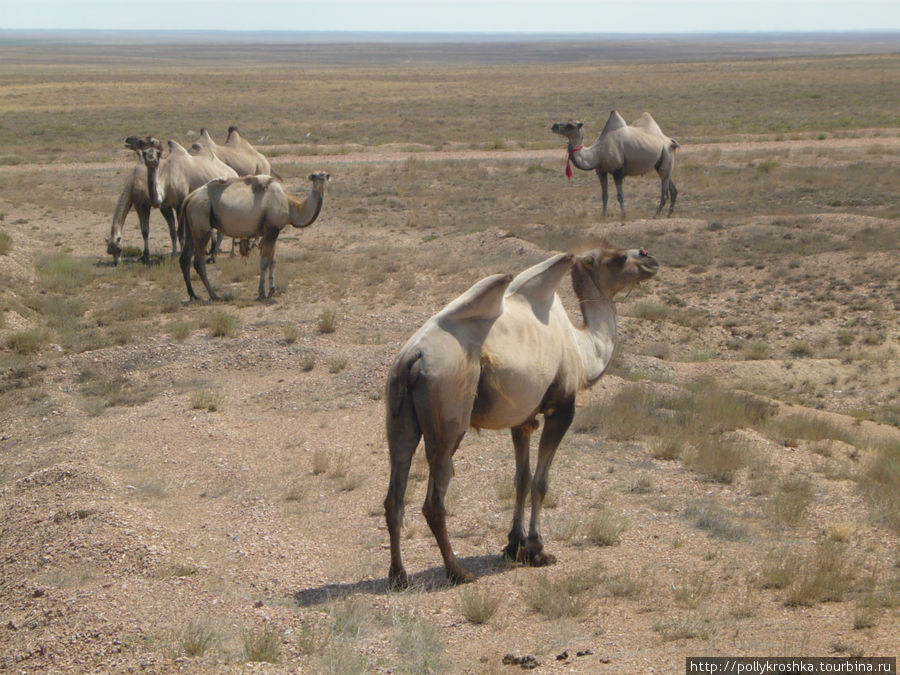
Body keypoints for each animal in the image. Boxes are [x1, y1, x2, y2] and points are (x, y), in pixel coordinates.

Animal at [106, 135, 236, 264]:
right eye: (109, 251)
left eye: (119, 249)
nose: (116, 263)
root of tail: (233, 172)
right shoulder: (164, 206)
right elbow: (171, 231)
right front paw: (171, 254)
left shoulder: (174, 203)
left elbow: (178, 232)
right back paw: (213, 254)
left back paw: (225, 254)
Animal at [178, 172, 328, 302]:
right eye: (314, 176)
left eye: (326, 174)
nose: (323, 178)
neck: (290, 204)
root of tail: (189, 197)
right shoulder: (272, 229)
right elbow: (265, 262)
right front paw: (262, 293)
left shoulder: (272, 231)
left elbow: (273, 261)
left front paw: (272, 290)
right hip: (201, 222)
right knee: (198, 262)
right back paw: (213, 295)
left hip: (192, 227)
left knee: (184, 258)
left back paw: (193, 295)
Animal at [384, 242, 656, 588]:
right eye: (619, 257)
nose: (649, 258)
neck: (582, 349)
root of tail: (413, 355)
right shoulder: (561, 409)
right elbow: (541, 482)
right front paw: (538, 550)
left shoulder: (523, 419)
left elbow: (521, 478)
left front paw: (514, 545)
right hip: (448, 413)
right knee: (434, 498)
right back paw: (458, 571)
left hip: (398, 411)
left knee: (395, 492)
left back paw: (399, 576)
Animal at [548, 109, 684, 218]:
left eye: (570, 125)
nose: (554, 125)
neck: (598, 152)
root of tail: (670, 141)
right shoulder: (601, 171)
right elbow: (604, 195)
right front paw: (603, 216)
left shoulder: (617, 172)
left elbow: (620, 196)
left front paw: (623, 216)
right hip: (661, 164)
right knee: (672, 189)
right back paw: (668, 215)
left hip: (665, 156)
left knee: (664, 192)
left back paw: (655, 216)